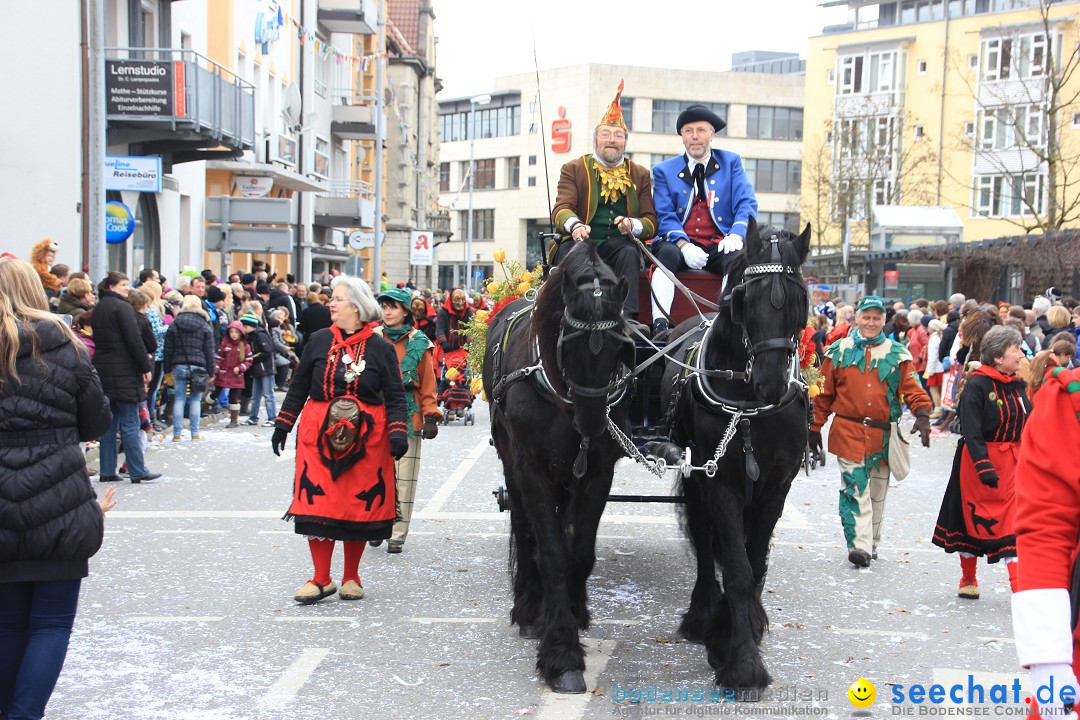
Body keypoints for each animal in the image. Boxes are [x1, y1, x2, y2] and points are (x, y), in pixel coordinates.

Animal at [481, 241, 630, 690]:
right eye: (569, 341)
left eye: (620, 344)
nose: (593, 424)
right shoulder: (532, 468)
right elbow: (549, 551)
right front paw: (561, 655)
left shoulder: (597, 472)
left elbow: (577, 551)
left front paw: (573, 615)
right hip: (512, 461)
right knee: (525, 527)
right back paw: (530, 607)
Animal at [656, 216, 812, 695]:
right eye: (746, 299)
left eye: (800, 299)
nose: (771, 382)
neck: (748, 407)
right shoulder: (719, 480)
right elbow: (738, 570)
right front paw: (741, 659)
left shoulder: (776, 486)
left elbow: (755, 563)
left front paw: (740, 632)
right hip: (694, 477)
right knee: (705, 541)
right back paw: (702, 612)